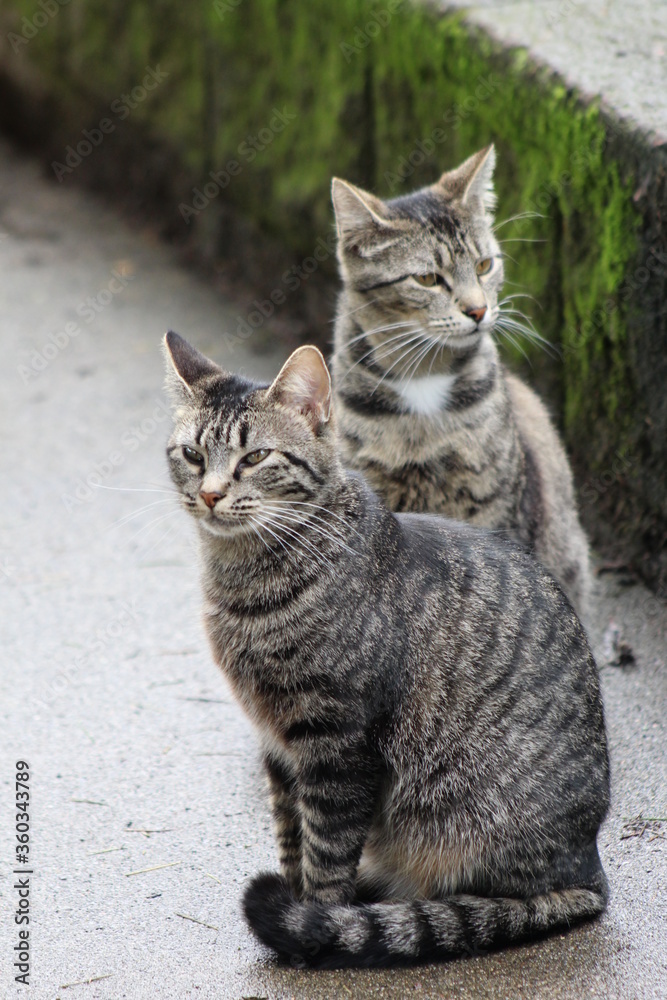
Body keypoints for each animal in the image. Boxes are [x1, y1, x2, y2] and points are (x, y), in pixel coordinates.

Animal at [163, 334, 612, 968]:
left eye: (255, 458)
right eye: (192, 454)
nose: (209, 493)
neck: (245, 589)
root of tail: (590, 869)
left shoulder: (338, 744)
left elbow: (326, 853)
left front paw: (314, 926)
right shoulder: (277, 744)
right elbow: (291, 839)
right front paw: (301, 907)